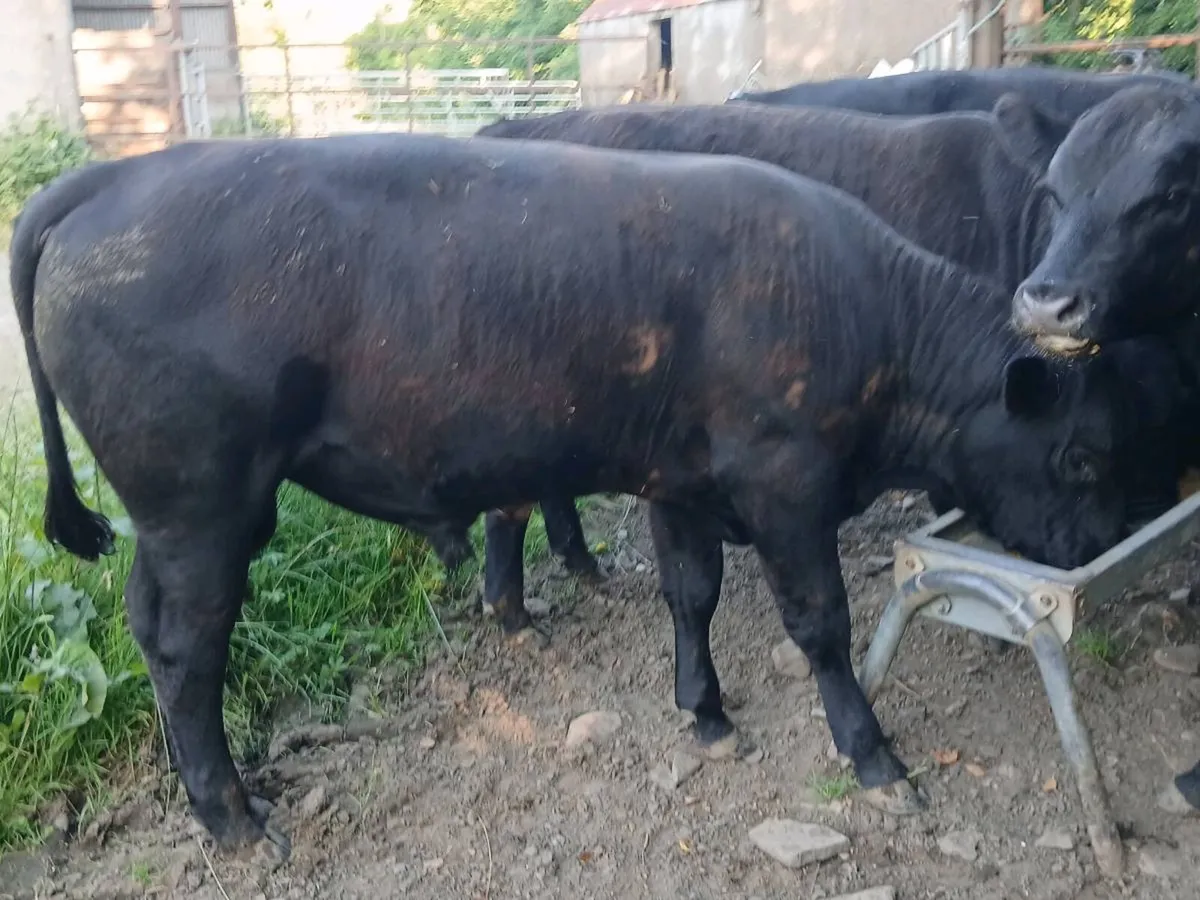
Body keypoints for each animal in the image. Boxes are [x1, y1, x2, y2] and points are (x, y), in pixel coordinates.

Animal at [12, 133, 1134, 854]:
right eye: (1080, 457)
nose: (1096, 547)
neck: (863, 306)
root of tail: (113, 175)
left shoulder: (681, 481)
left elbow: (691, 593)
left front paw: (705, 710)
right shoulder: (786, 486)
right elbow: (820, 623)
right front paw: (872, 755)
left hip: (181, 519)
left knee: (155, 632)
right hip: (200, 510)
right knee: (183, 647)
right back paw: (235, 818)